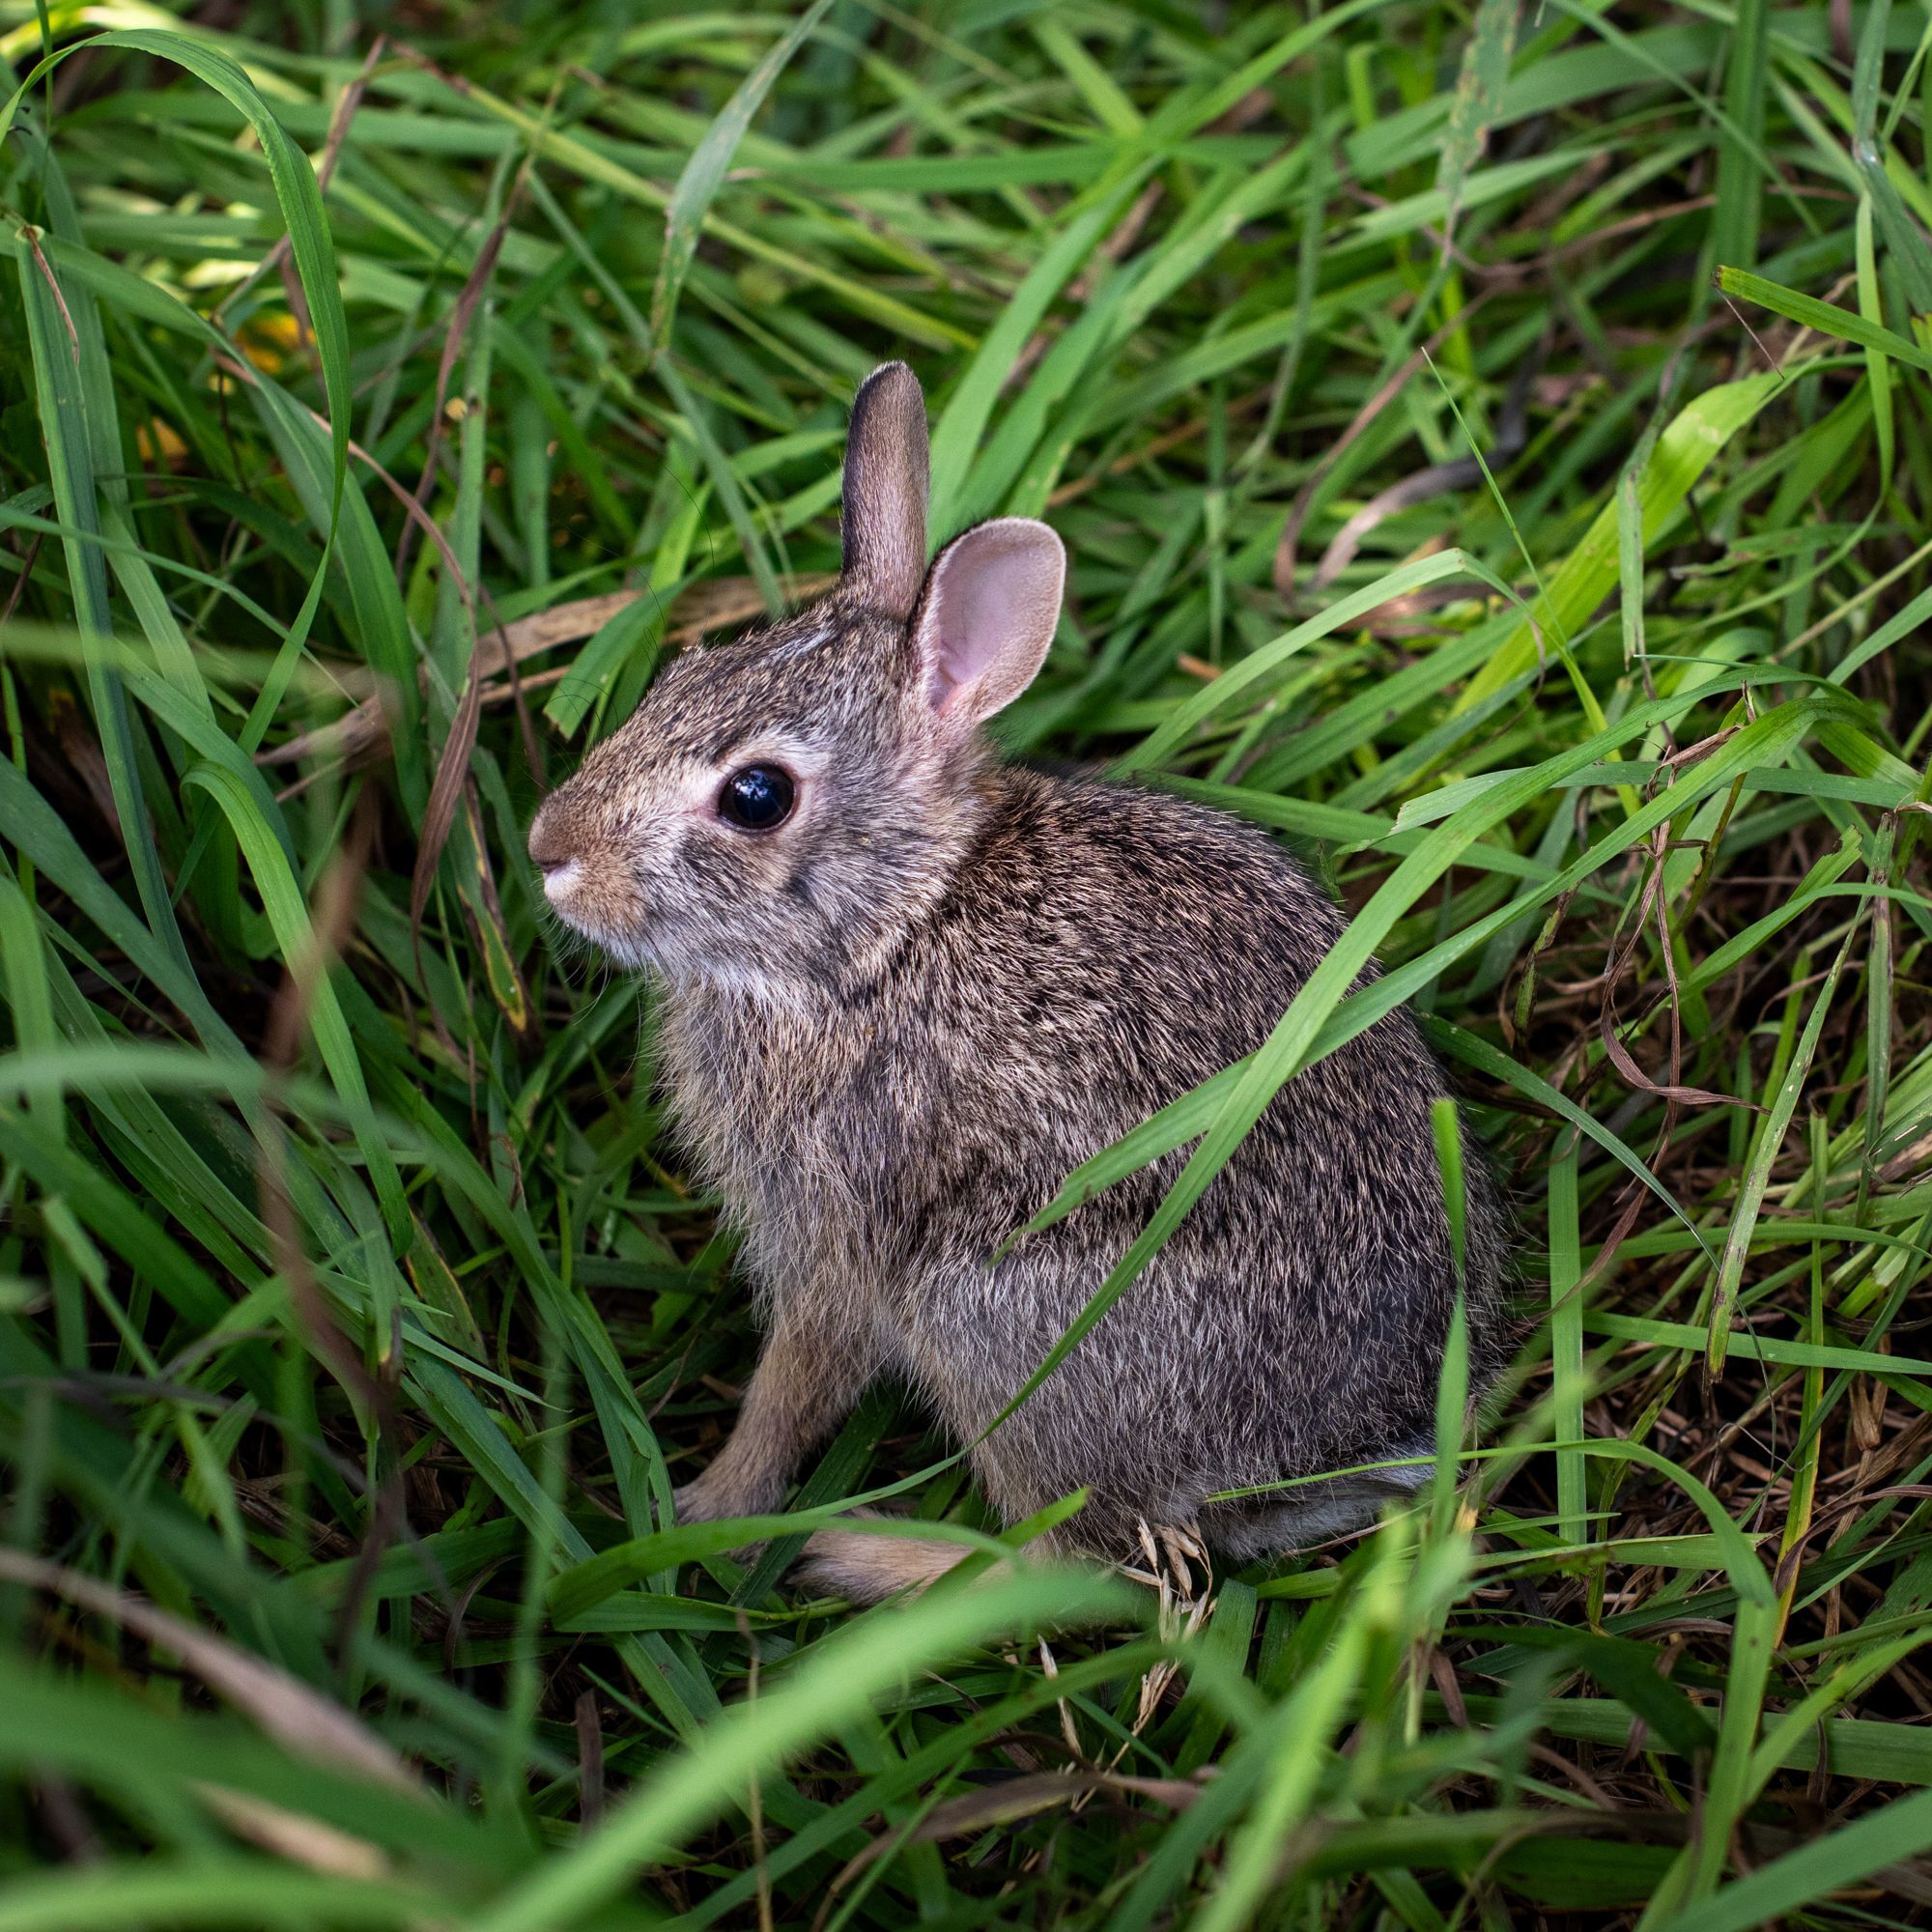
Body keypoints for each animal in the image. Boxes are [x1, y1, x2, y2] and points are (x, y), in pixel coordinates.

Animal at [529, 363, 1507, 1600]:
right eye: (678, 674)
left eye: (755, 796)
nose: (548, 849)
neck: (895, 930)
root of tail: (1353, 1449)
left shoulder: (840, 1232)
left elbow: (796, 1379)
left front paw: (705, 1511)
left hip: (997, 1317)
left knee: (1087, 1561)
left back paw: (862, 1558)